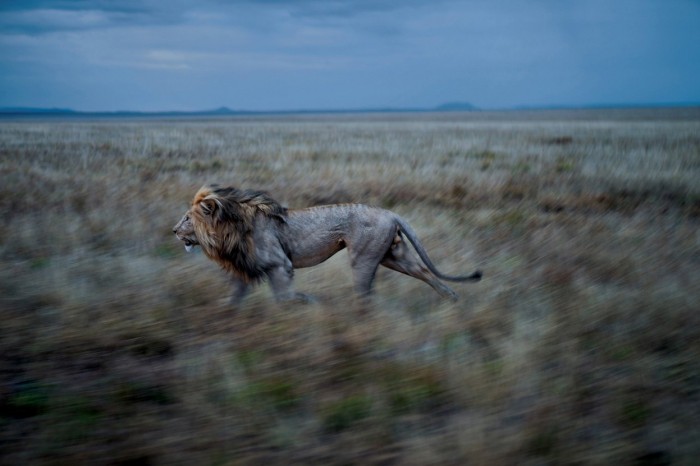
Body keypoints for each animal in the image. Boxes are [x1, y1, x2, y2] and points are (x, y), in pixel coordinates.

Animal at [173, 185, 482, 304]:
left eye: (187, 218)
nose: (174, 231)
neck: (227, 229)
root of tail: (390, 212)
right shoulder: (244, 270)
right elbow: (233, 300)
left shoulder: (280, 265)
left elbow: (285, 298)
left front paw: (309, 304)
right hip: (393, 255)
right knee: (425, 272)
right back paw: (452, 300)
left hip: (364, 258)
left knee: (365, 294)